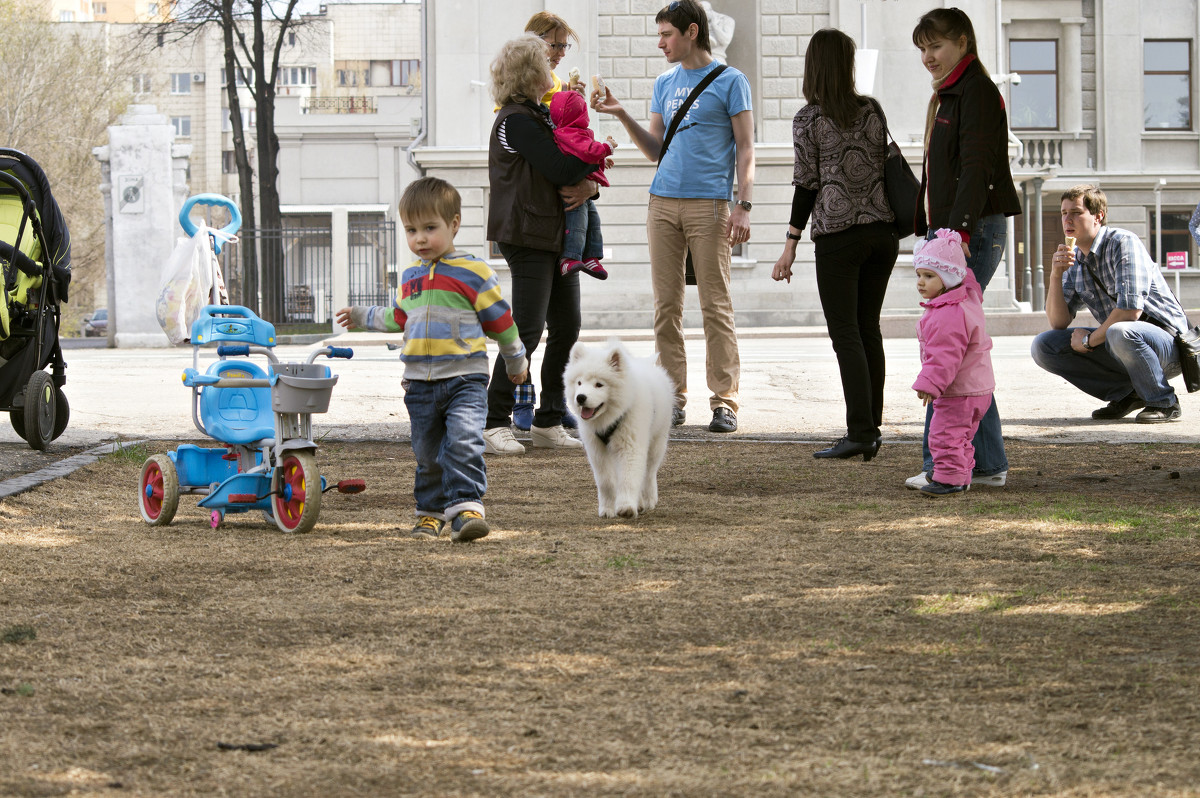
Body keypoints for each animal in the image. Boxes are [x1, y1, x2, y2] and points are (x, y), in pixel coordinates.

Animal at [561, 338, 676, 516]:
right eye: (579, 382)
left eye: (599, 385)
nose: (580, 397)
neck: (610, 417)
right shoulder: (597, 451)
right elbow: (606, 481)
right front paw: (607, 509)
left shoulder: (631, 445)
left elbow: (629, 478)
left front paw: (626, 506)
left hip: (657, 442)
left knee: (649, 473)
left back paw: (649, 499)